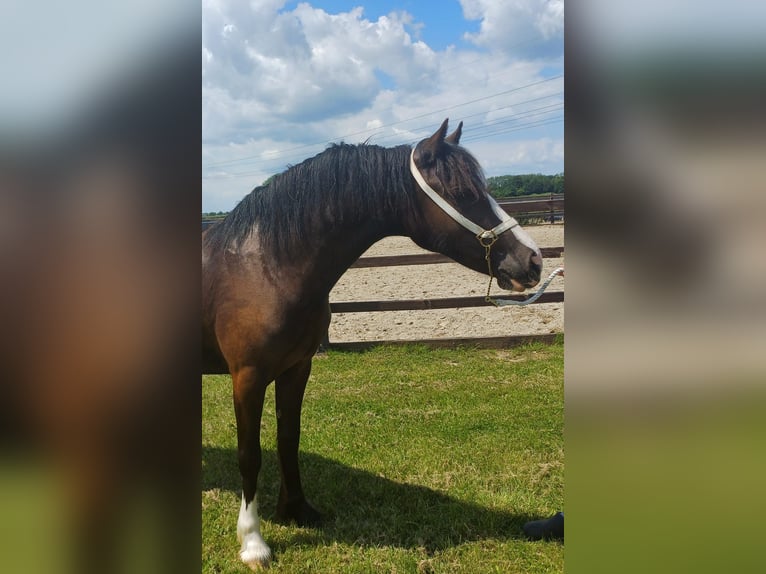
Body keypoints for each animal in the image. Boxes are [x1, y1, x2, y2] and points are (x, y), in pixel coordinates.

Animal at [201, 120, 544, 572]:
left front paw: (297, 511)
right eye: (463, 191)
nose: (533, 261)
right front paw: (254, 542)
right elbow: (249, 454)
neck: (265, 266)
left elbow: (288, 438)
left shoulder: (296, 368)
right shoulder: (248, 377)